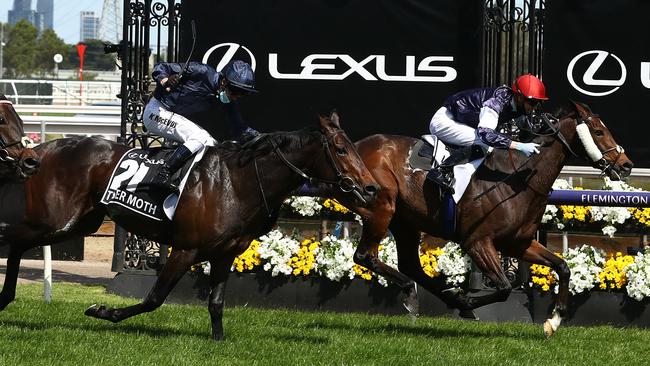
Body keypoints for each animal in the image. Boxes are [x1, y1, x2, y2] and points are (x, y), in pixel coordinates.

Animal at [0, 112, 378, 340]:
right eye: (341, 149)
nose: (371, 187)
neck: (237, 183)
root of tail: (40, 150)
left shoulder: (225, 254)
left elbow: (216, 302)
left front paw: (219, 340)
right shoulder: (185, 249)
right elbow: (153, 298)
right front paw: (103, 310)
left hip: (79, 223)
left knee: (17, 241)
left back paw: (5, 298)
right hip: (54, 219)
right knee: (14, 238)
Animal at [322, 101, 628, 336]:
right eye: (598, 131)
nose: (626, 165)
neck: (518, 179)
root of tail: (351, 148)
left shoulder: (518, 243)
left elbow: (562, 267)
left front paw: (553, 320)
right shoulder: (477, 242)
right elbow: (504, 287)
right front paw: (468, 299)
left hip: (405, 221)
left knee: (409, 265)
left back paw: (439, 296)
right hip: (381, 209)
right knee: (365, 256)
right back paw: (431, 296)